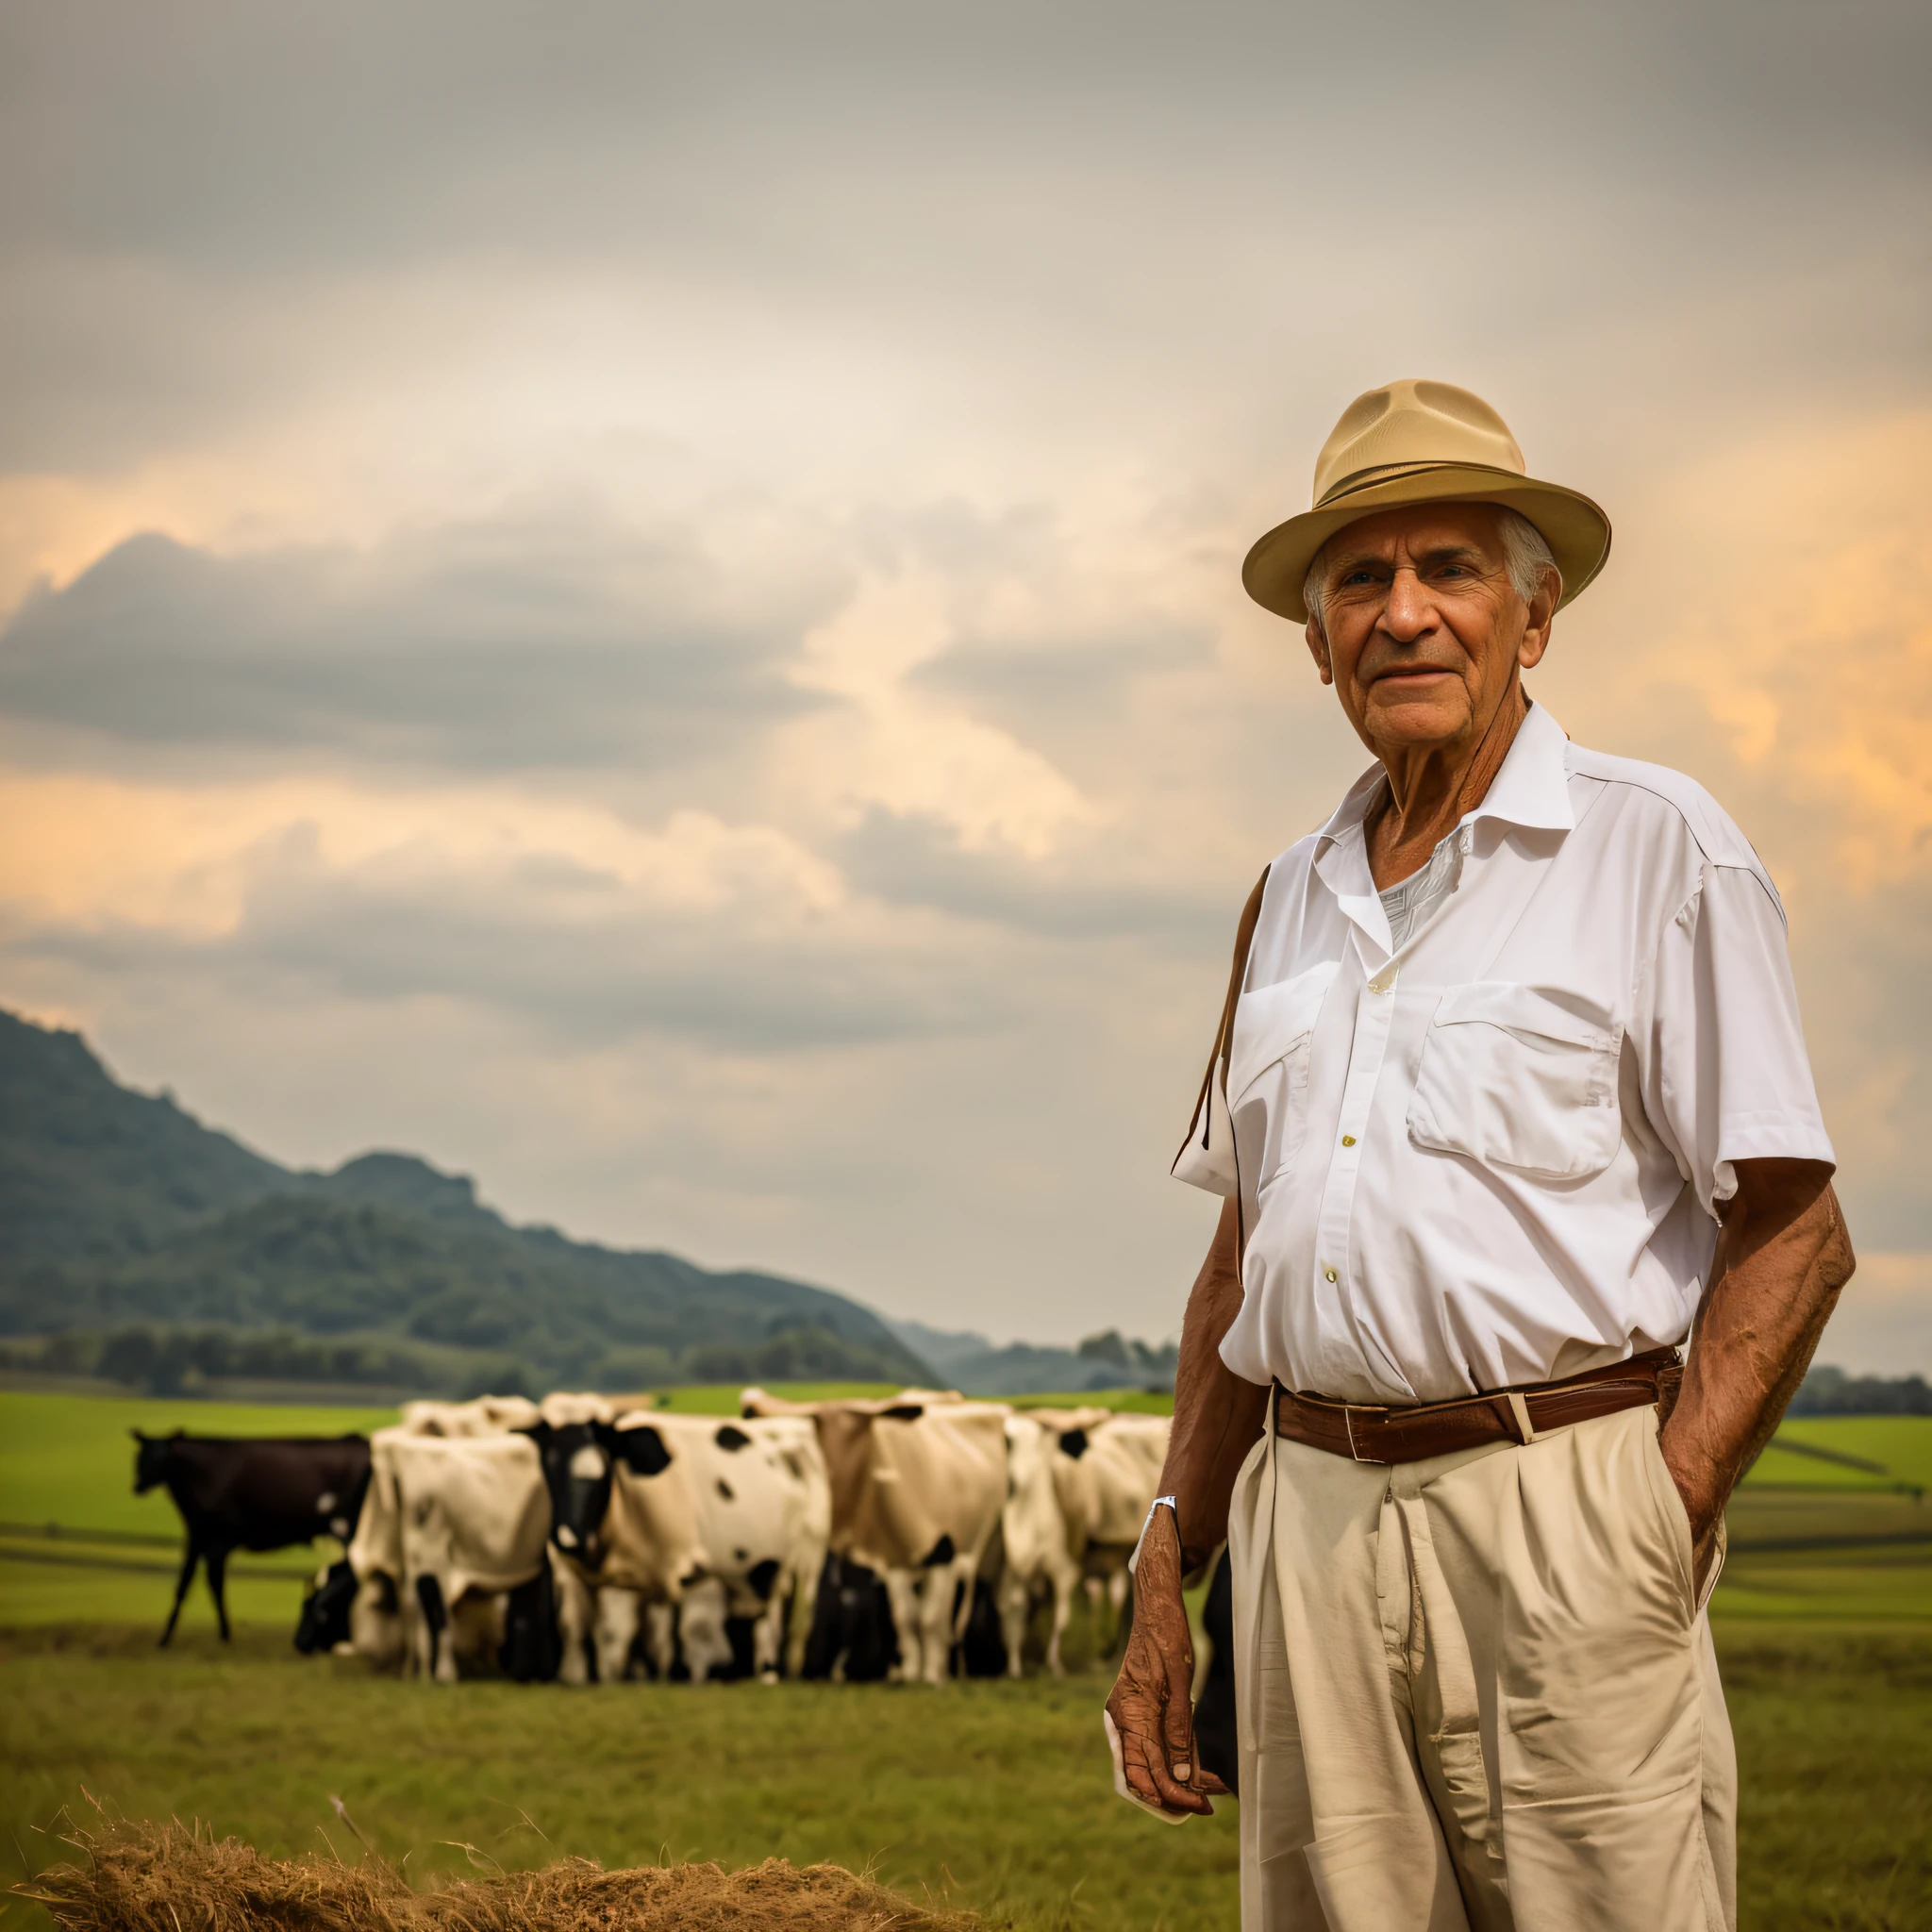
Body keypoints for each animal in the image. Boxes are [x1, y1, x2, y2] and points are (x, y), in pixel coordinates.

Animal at [131, 1437, 369, 1645]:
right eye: (140, 1456)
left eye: (158, 1458)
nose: (138, 1486)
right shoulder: (196, 1538)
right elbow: (187, 1584)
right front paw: (167, 1637)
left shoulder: (216, 1541)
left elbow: (213, 1584)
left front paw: (223, 1634)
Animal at [741, 1391, 1012, 1676]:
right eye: (819, 1432)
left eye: (860, 1434)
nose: (828, 1477)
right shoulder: (891, 1562)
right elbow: (905, 1619)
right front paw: (910, 1673)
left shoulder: (945, 1553)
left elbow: (930, 1620)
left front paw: (930, 1675)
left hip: (980, 1551)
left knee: (965, 1612)